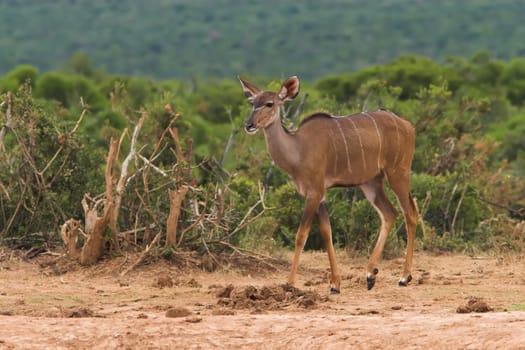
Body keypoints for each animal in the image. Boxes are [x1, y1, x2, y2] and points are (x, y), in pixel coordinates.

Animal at [241, 76, 418, 292]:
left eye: (269, 103)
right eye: (253, 103)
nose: (249, 125)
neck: (298, 149)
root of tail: (408, 126)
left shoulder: (314, 192)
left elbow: (301, 235)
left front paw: (289, 283)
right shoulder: (320, 195)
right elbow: (327, 232)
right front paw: (335, 285)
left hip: (398, 173)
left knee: (410, 213)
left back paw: (404, 277)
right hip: (371, 183)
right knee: (390, 213)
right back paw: (370, 275)